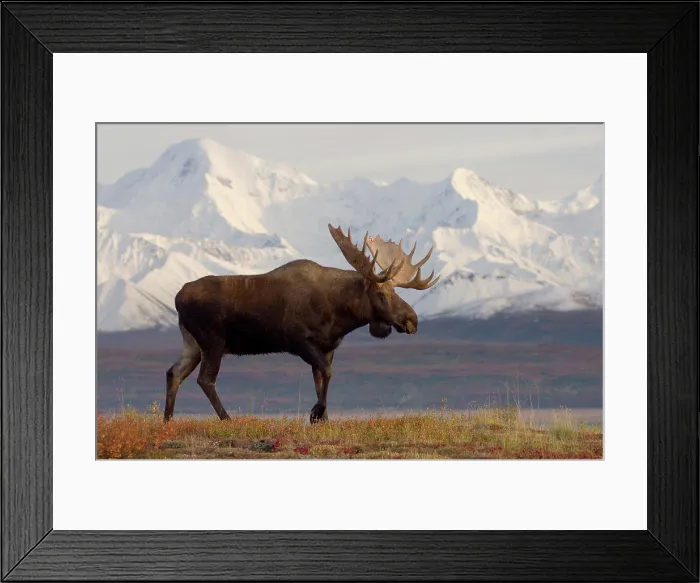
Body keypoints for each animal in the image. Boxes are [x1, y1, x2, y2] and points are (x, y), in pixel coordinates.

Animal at [163, 224, 440, 424]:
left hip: (192, 344)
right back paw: (227, 419)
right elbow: (326, 374)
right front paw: (315, 414)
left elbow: (321, 379)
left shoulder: (327, 347)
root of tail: (178, 297)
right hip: (213, 341)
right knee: (205, 379)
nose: (412, 320)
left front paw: (324, 419)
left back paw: (168, 420)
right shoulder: (300, 341)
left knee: (174, 373)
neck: (339, 314)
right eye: (382, 294)